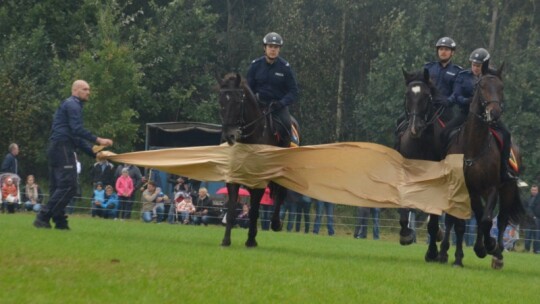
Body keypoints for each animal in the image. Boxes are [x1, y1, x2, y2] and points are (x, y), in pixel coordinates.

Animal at [216, 73, 294, 247]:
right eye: (221, 102)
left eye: (237, 102)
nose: (229, 136)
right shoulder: (234, 178)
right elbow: (232, 209)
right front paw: (226, 240)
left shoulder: (260, 180)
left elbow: (254, 211)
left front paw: (251, 240)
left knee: (280, 195)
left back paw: (275, 223)